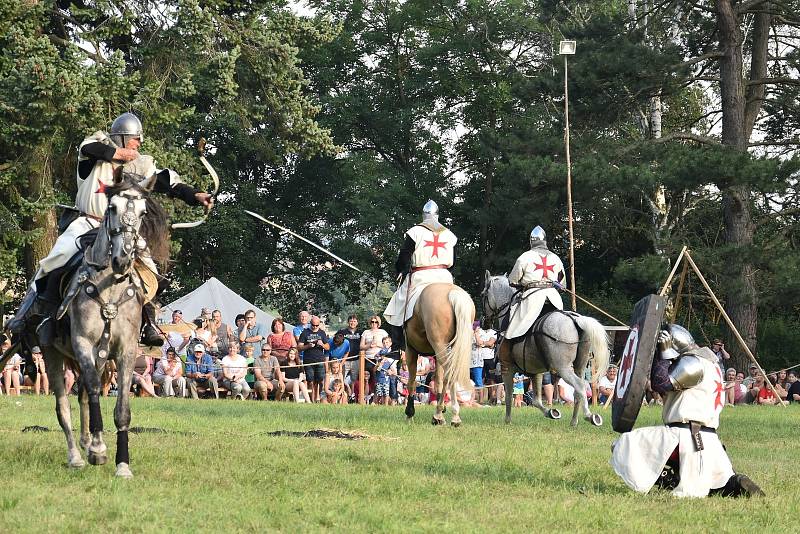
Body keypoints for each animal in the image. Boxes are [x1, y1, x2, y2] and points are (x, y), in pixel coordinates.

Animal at [40, 174, 167, 480]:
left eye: (142, 213)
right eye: (112, 208)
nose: (123, 259)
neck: (110, 287)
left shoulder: (126, 351)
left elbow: (121, 409)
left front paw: (122, 464)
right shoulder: (83, 344)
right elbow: (95, 390)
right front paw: (98, 451)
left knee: (83, 397)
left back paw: (88, 442)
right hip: (53, 353)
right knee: (64, 406)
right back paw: (77, 455)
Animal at [404, 284, 472, 428]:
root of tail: (453, 292)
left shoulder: (410, 350)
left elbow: (411, 382)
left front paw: (409, 413)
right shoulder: (437, 354)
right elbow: (439, 382)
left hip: (439, 345)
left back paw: (446, 415)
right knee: (449, 375)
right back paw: (445, 414)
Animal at [478, 274, 608, 430]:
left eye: (483, 295)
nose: (483, 322)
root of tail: (575, 320)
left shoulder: (506, 368)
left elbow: (509, 395)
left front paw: (507, 420)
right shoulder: (536, 371)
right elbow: (537, 401)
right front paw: (551, 412)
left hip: (563, 368)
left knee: (579, 386)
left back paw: (589, 416)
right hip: (580, 367)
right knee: (578, 390)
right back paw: (574, 422)